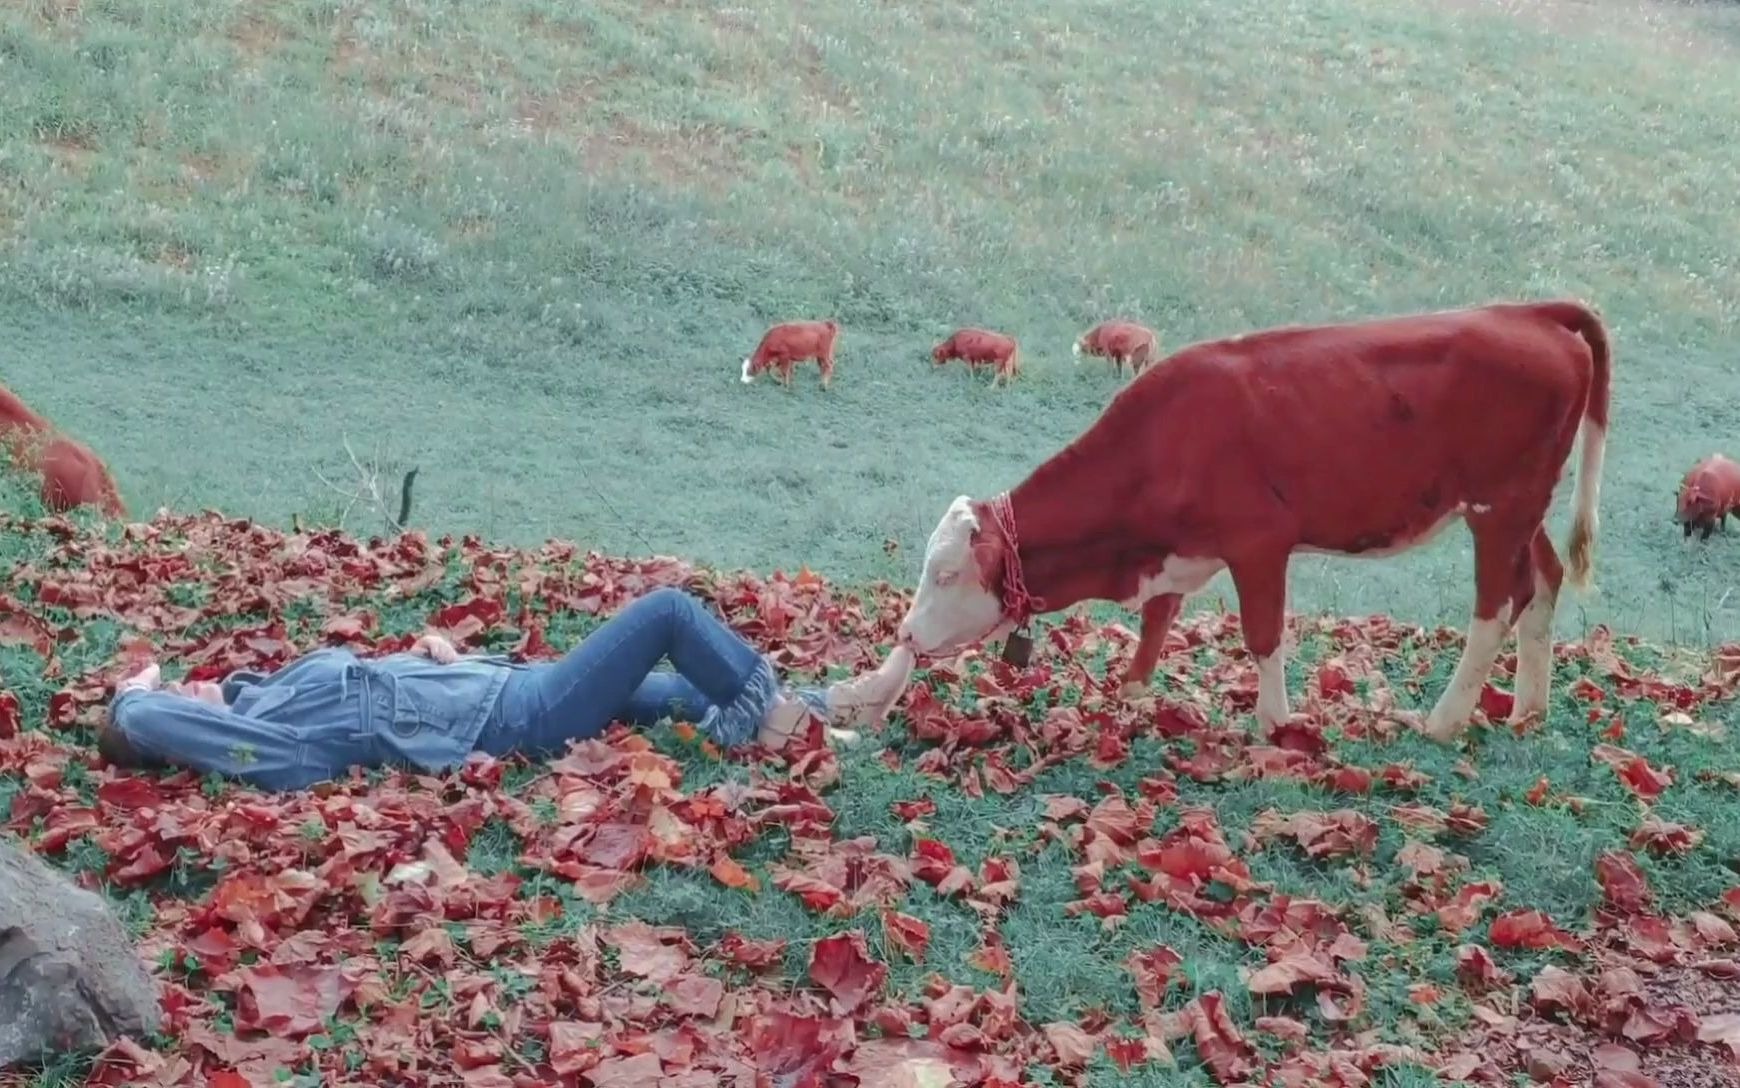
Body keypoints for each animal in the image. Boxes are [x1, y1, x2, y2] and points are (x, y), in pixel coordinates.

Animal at [897, 306, 1614, 745]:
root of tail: (1525, 311)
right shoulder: (1177, 552)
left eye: (947, 572)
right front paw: (1132, 692)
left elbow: (1263, 635)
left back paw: (1442, 721)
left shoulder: (1260, 544)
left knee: (1498, 603)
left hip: (1499, 507)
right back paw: (1528, 708)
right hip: (1523, 506)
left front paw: (1273, 723)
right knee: (1545, 579)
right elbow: (1158, 616)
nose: (904, 635)